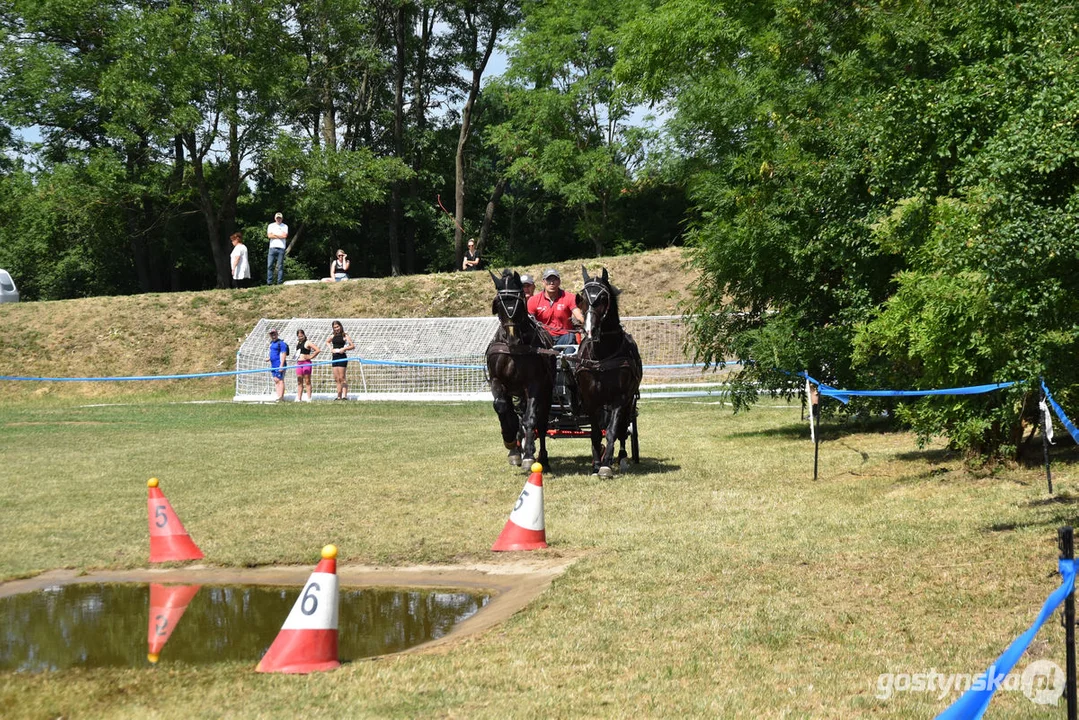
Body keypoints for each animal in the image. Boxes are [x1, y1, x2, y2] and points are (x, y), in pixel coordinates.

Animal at [489, 268, 556, 468]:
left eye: (519, 302)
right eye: (498, 304)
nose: (513, 338)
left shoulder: (534, 384)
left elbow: (530, 419)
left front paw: (528, 455)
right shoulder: (497, 381)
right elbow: (503, 408)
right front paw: (511, 442)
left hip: (547, 392)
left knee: (541, 422)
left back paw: (541, 457)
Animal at [574, 266, 638, 479]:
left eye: (603, 297)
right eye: (581, 297)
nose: (590, 329)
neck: (603, 356)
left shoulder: (620, 398)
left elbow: (612, 431)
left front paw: (606, 465)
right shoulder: (590, 399)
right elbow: (595, 433)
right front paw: (596, 465)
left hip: (628, 402)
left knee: (623, 429)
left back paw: (622, 458)